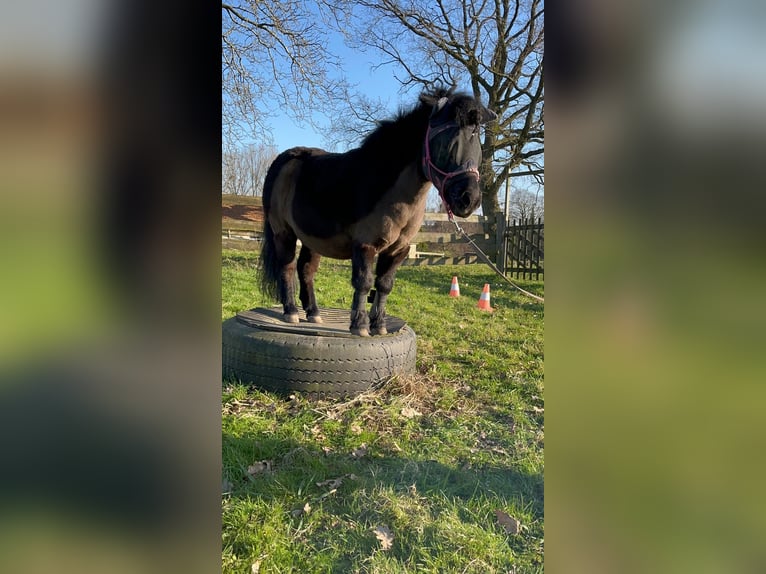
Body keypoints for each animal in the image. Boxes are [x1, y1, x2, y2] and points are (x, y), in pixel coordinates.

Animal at [260, 88, 498, 336]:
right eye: (446, 141)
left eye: (477, 143)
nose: (469, 199)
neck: (388, 188)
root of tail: (284, 160)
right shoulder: (365, 246)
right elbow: (363, 283)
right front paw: (360, 325)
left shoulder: (398, 250)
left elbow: (384, 285)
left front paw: (380, 325)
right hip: (283, 233)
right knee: (287, 267)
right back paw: (291, 311)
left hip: (312, 239)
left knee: (306, 270)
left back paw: (313, 312)